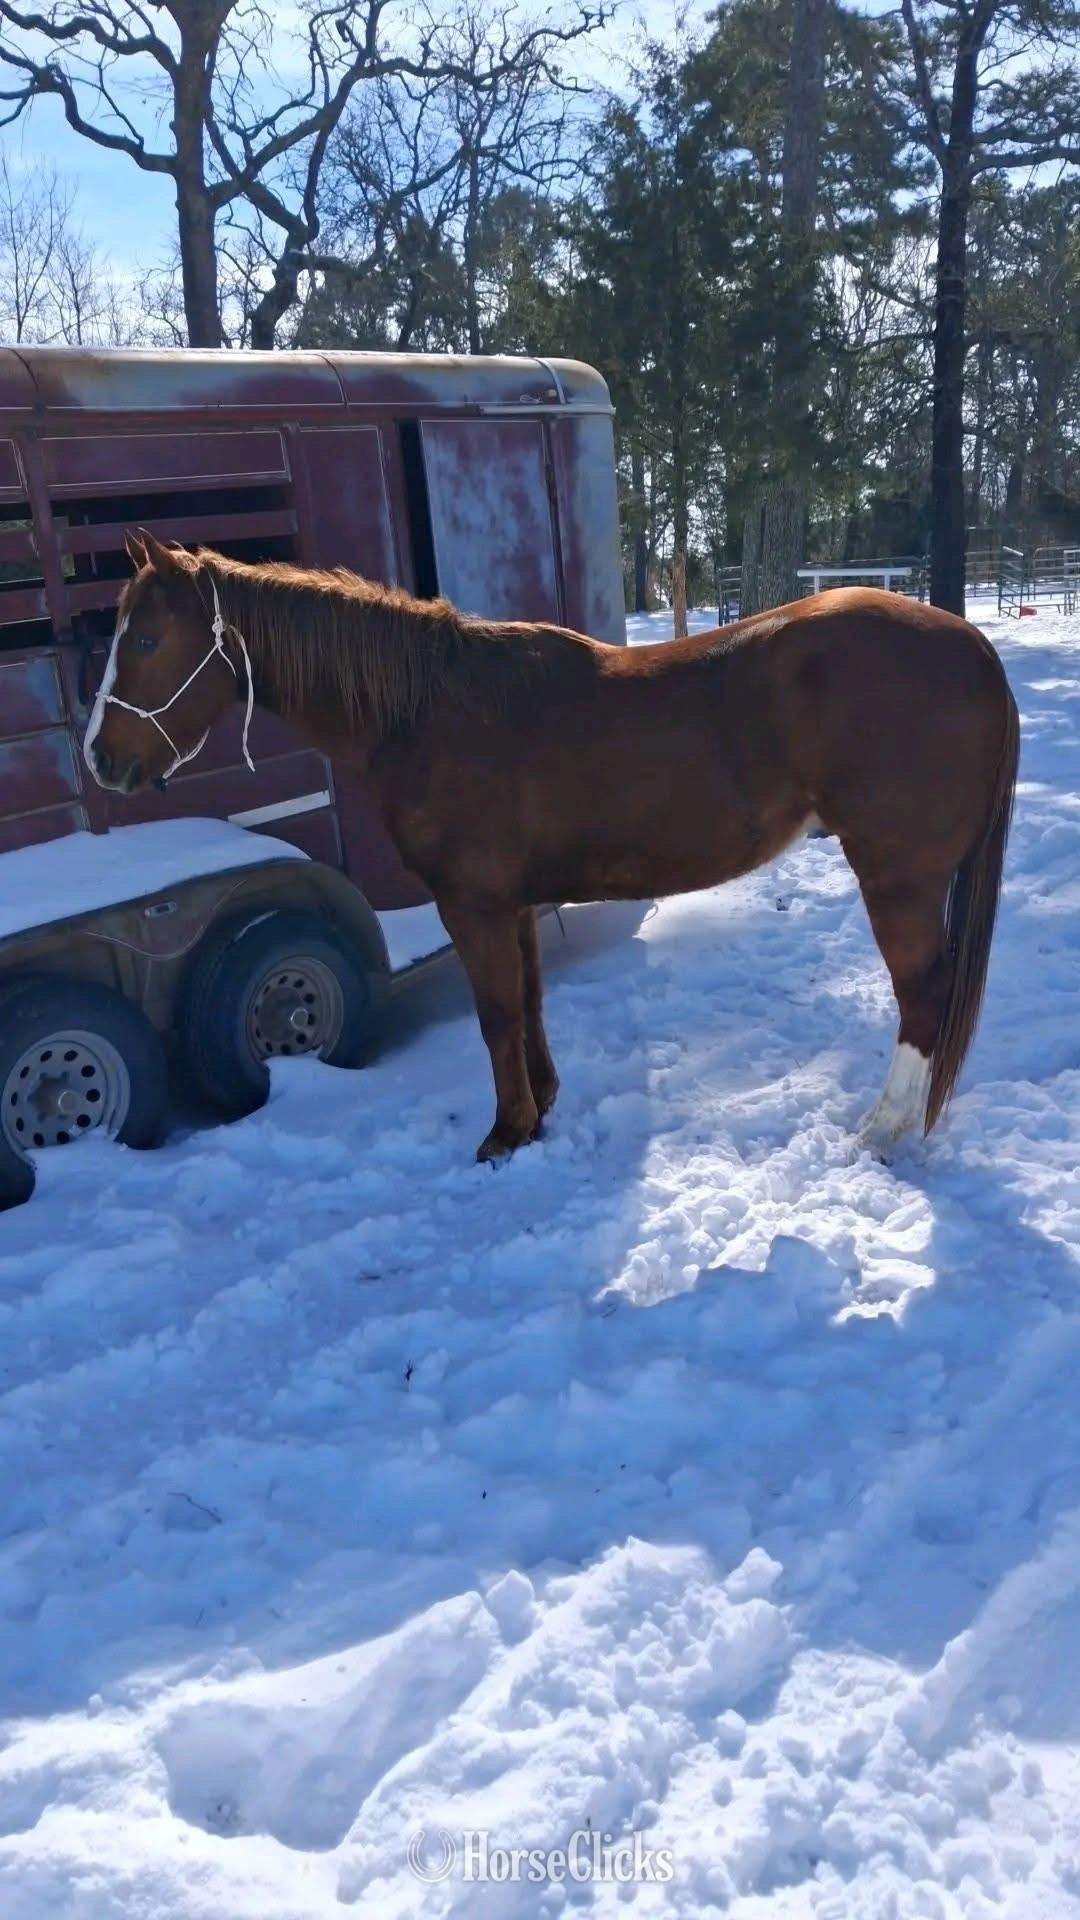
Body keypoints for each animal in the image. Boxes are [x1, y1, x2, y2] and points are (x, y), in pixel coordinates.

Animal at [85, 530, 1019, 1164]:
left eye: (144, 639)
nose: (99, 760)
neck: (427, 711)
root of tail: (970, 644)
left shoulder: (470, 904)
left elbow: (496, 1016)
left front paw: (505, 1135)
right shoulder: (514, 904)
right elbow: (527, 1006)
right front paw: (541, 1113)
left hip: (898, 876)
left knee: (923, 998)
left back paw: (884, 1130)